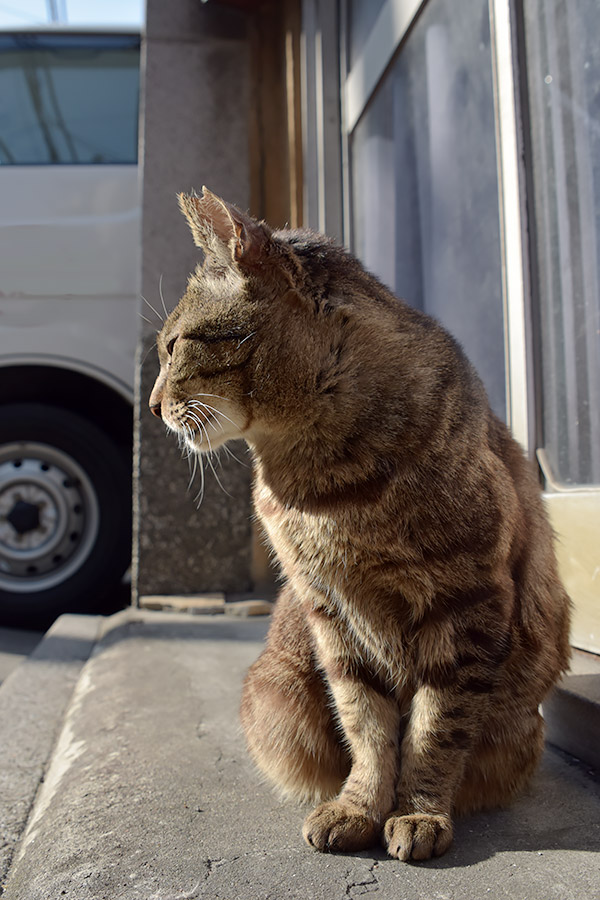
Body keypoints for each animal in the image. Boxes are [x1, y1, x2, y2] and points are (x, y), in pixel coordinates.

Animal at [150, 186, 572, 860]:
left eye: (172, 347)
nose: (151, 405)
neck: (321, 487)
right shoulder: (329, 611)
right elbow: (367, 725)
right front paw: (357, 807)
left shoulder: (467, 601)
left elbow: (433, 728)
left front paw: (419, 812)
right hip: (278, 695)